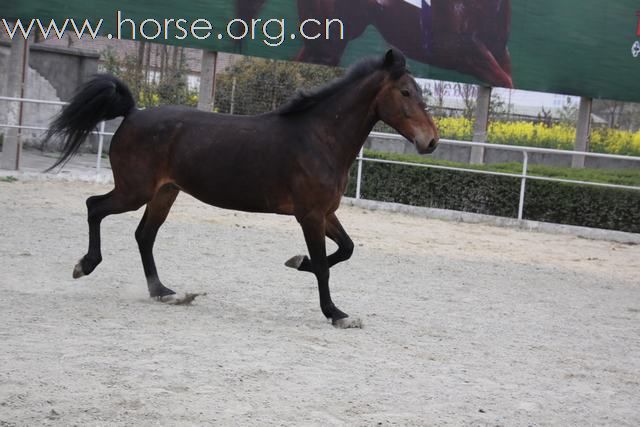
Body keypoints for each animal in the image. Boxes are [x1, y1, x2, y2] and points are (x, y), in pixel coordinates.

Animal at [46, 49, 440, 328]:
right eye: (406, 92)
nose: (431, 141)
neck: (319, 138)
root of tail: (132, 112)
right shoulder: (310, 216)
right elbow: (326, 266)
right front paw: (336, 313)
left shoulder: (326, 213)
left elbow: (346, 249)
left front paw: (298, 262)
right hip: (135, 190)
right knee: (94, 207)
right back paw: (85, 265)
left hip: (164, 193)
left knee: (144, 235)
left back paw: (165, 293)